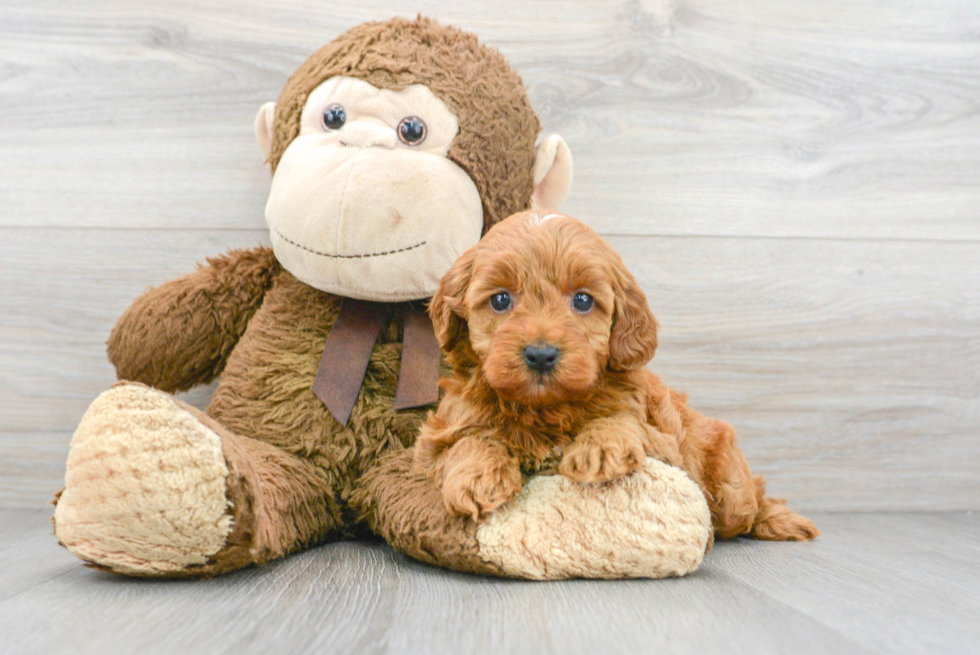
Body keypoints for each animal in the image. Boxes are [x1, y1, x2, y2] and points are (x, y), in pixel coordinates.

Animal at [414, 211, 820, 544]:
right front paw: (477, 477)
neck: (546, 408)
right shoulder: (436, 439)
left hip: (729, 485)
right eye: (500, 300)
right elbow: (468, 440)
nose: (541, 355)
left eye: (582, 301)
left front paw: (600, 448)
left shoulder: (665, 445)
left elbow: (621, 419)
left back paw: (779, 520)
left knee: (750, 503)